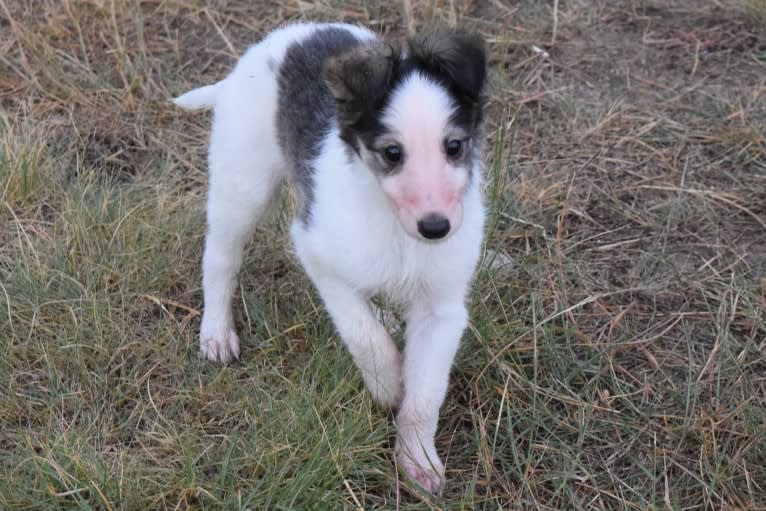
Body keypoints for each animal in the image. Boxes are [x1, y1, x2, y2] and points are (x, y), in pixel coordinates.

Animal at [174, 22, 486, 494]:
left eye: (454, 147)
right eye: (392, 153)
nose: (437, 228)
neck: (396, 229)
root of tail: (285, 37)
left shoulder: (443, 308)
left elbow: (424, 397)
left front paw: (418, 461)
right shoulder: (317, 253)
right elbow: (365, 337)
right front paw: (388, 386)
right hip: (242, 186)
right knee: (219, 260)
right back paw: (216, 333)